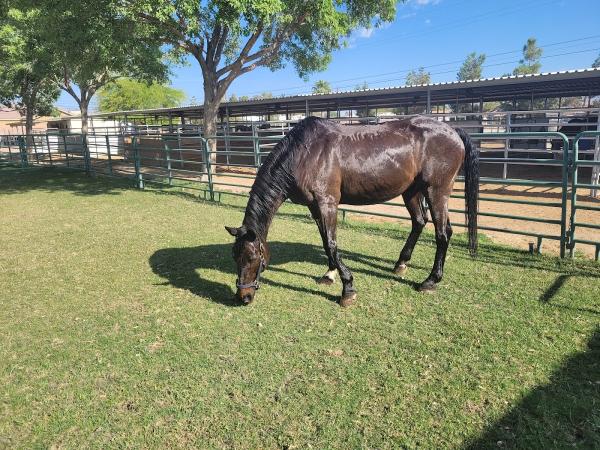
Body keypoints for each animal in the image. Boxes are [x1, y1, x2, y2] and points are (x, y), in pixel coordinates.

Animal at [224, 114, 478, 308]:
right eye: (234, 256)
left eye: (252, 257)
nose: (243, 297)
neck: (305, 154)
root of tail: (452, 130)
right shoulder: (315, 206)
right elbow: (325, 241)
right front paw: (329, 274)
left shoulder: (327, 203)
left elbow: (331, 244)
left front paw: (348, 289)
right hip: (412, 191)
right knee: (419, 222)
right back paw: (401, 264)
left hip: (437, 191)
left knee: (443, 233)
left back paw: (430, 281)